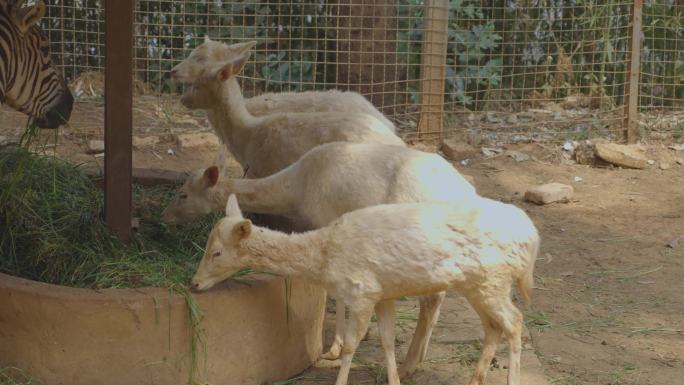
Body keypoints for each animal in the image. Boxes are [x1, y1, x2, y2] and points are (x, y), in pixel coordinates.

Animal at [192, 195, 540, 384]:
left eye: (217, 252)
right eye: (206, 244)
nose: (194, 284)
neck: (325, 260)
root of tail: (532, 239)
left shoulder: (361, 291)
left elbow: (350, 345)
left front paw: (340, 380)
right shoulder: (382, 293)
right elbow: (386, 340)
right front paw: (395, 380)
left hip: (493, 281)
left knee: (515, 322)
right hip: (478, 286)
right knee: (493, 327)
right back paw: (474, 380)